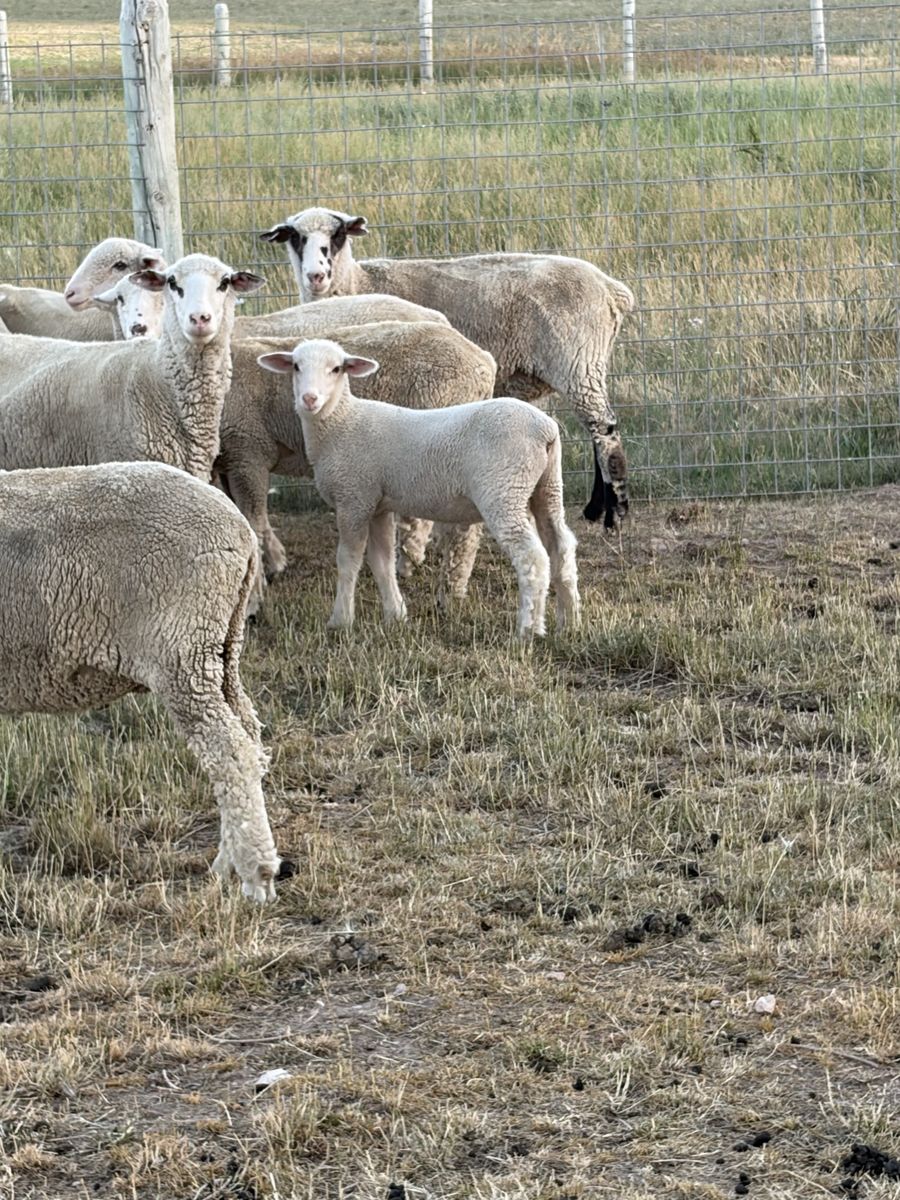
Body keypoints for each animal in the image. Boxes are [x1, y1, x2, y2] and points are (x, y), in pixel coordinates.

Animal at [0, 460, 281, 901]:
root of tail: (240, 530)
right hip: (222, 648)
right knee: (249, 740)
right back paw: (227, 863)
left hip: (183, 653)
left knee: (230, 752)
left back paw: (257, 874)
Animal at [257, 338, 580, 638]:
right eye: (296, 366)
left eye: (337, 368)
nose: (309, 399)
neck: (340, 422)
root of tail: (545, 429)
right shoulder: (377, 504)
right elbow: (382, 561)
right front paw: (396, 615)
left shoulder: (354, 498)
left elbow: (348, 561)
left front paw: (340, 621)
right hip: (546, 488)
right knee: (561, 547)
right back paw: (568, 622)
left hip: (504, 490)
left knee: (531, 556)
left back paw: (528, 629)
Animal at [261, 206, 635, 529]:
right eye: (296, 237)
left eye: (337, 235)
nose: (316, 275)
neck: (358, 282)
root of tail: (611, 290)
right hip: (588, 363)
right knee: (597, 428)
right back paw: (595, 509)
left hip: (576, 360)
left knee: (604, 428)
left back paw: (615, 513)